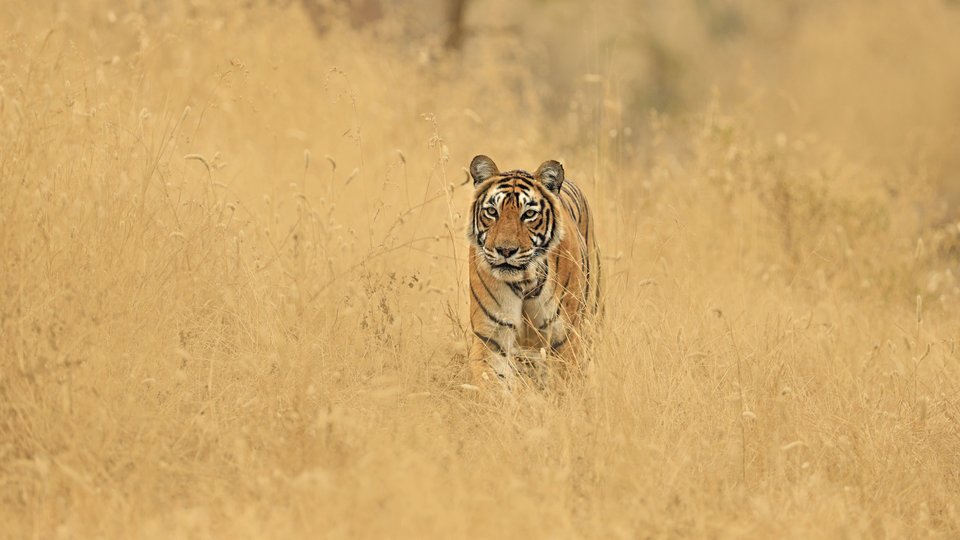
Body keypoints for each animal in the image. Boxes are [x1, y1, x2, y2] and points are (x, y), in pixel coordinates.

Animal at [466, 155, 601, 390]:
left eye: (528, 214)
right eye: (492, 212)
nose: (505, 250)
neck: (525, 283)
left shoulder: (565, 339)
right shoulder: (492, 337)